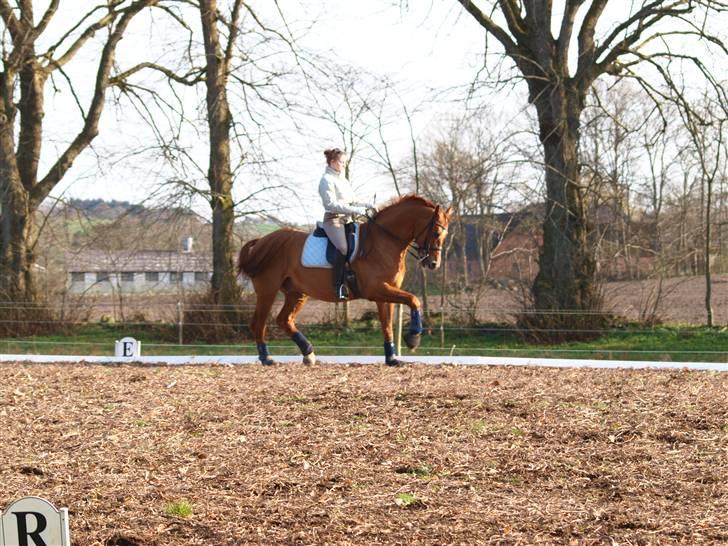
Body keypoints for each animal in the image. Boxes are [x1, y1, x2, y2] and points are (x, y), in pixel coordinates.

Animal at [237, 193, 450, 364]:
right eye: (436, 231)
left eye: (445, 234)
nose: (434, 263)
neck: (384, 241)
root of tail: (263, 241)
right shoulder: (376, 289)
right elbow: (414, 300)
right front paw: (413, 338)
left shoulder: (385, 293)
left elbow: (388, 325)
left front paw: (391, 359)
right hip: (268, 290)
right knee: (259, 323)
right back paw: (267, 358)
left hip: (297, 292)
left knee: (284, 320)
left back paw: (308, 353)